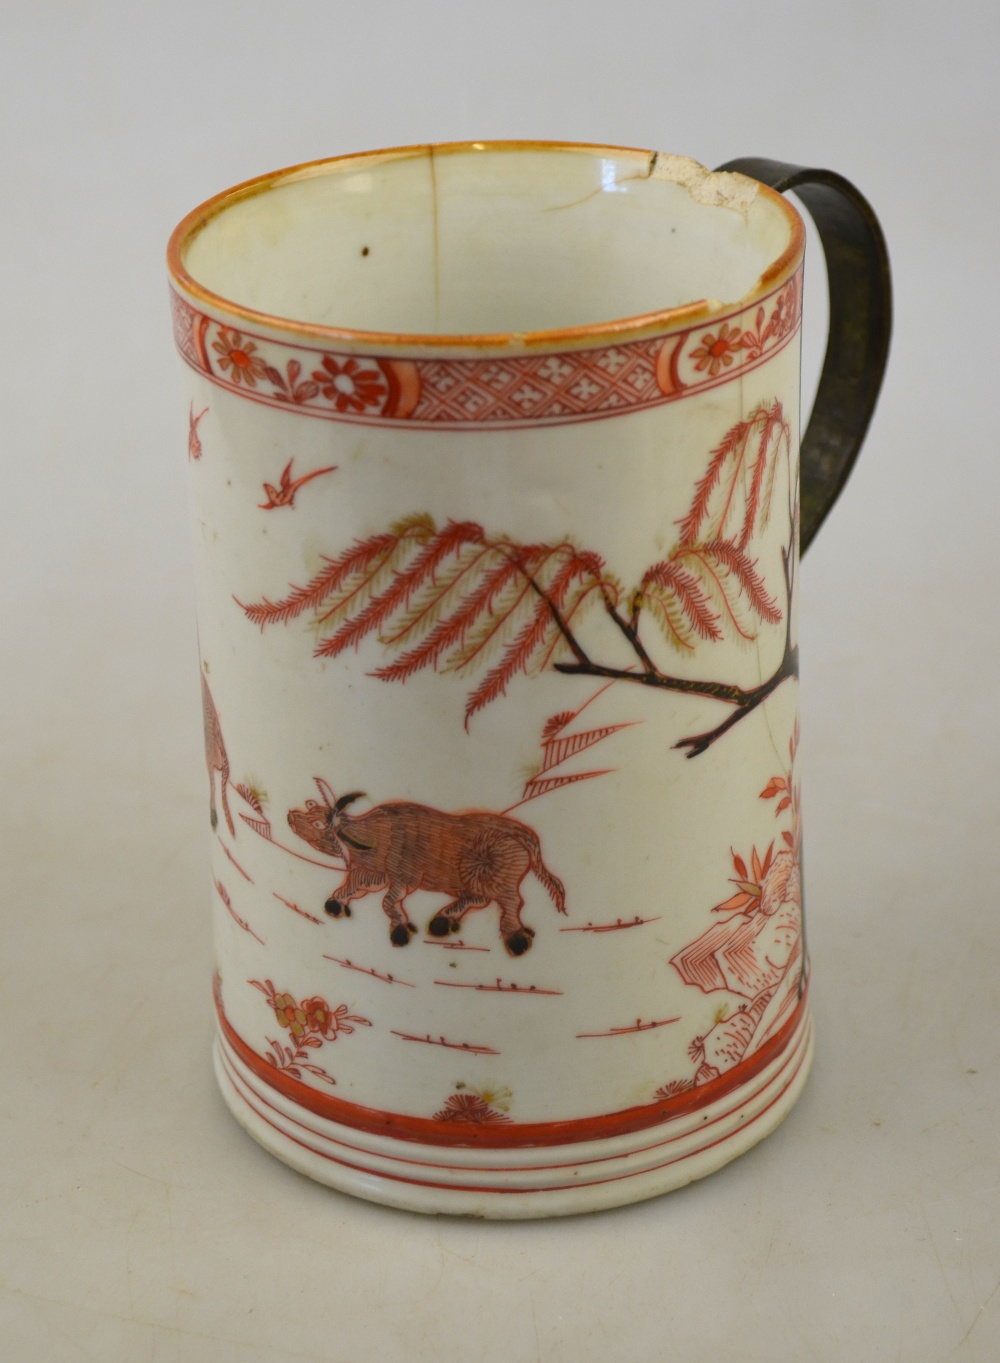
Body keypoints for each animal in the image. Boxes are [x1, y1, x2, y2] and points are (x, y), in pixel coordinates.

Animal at [290, 779, 566, 959]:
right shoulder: (374, 874)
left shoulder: (404, 877)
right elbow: (354, 887)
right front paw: (335, 905)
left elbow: (388, 902)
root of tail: (523, 832)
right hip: (467, 880)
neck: (376, 836)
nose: (291, 815)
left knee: (511, 902)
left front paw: (400, 930)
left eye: (318, 823)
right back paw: (443, 922)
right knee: (480, 900)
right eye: (312, 808)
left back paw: (516, 940)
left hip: (493, 878)